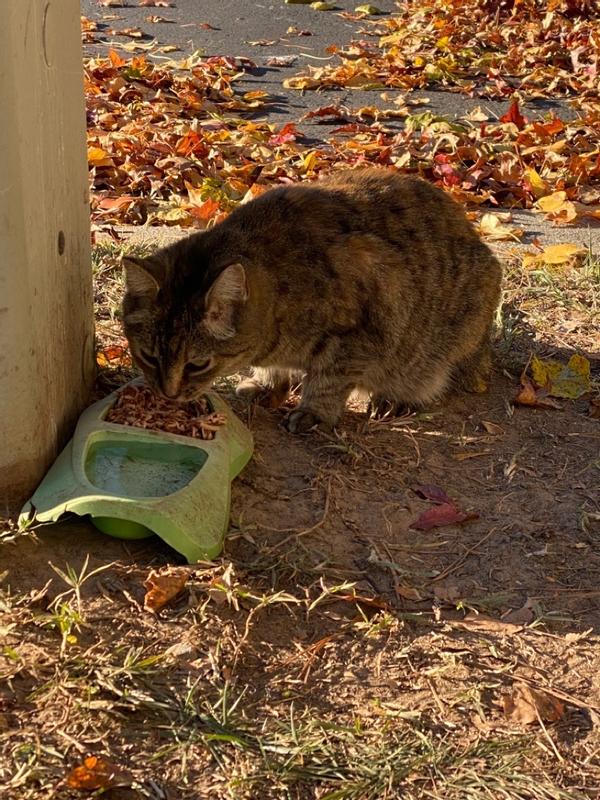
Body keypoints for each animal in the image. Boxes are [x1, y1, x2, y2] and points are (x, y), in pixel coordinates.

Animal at [122, 167, 502, 432]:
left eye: (198, 364)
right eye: (148, 356)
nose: (168, 394)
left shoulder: (362, 331)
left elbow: (328, 380)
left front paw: (313, 412)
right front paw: (267, 384)